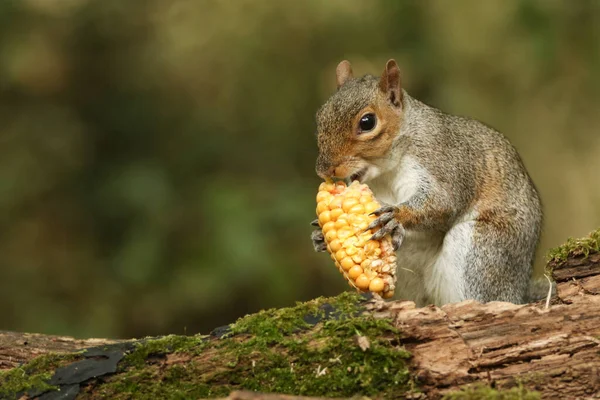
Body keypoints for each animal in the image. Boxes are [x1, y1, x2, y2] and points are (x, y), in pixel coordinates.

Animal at [312, 59, 548, 304]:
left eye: (367, 122)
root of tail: (518, 293)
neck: (385, 172)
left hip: (482, 252)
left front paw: (396, 215)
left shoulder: (444, 162)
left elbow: (443, 202)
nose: (323, 169)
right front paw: (319, 235)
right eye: (320, 116)